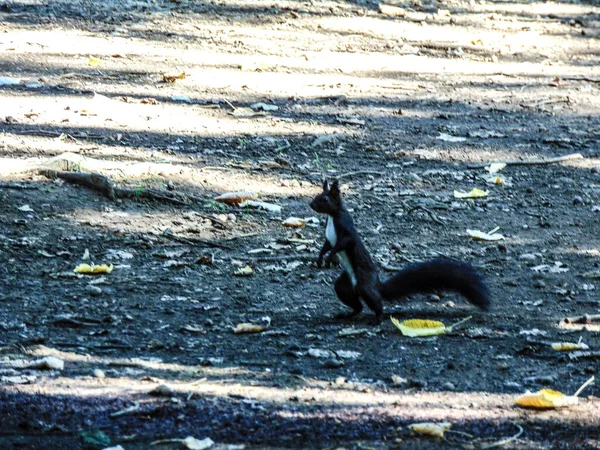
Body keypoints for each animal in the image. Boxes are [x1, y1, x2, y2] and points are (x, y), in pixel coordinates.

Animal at [310, 179, 492, 324]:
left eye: (325, 199)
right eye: (318, 195)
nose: (311, 205)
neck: (332, 217)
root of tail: (377, 284)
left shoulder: (346, 228)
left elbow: (342, 243)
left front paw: (329, 256)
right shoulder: (330, 238)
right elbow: (327, 244)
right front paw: (320, 257)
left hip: (364, 282)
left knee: (374, 301)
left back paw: (378, 318)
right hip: (344, 285)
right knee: (357, 304)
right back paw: (347, 314)